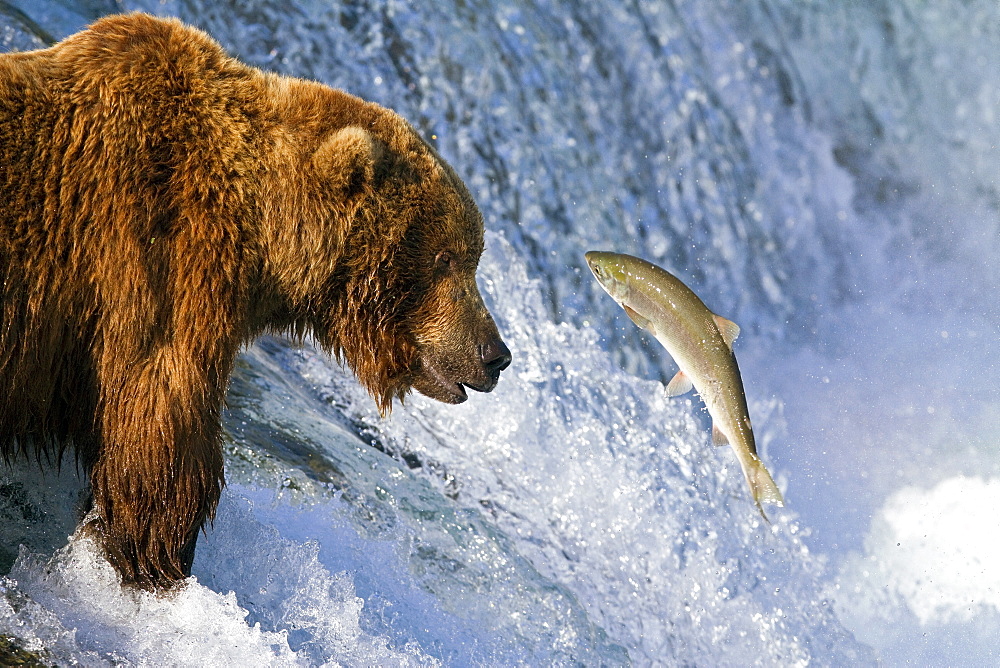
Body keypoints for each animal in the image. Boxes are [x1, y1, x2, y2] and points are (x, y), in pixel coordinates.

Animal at [0, 13, 512, 588]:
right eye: (448, 258)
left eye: (473, 256)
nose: (496, 354)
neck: (261, 236)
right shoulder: (159, 269)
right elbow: (161, 443)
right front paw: (154, 563)